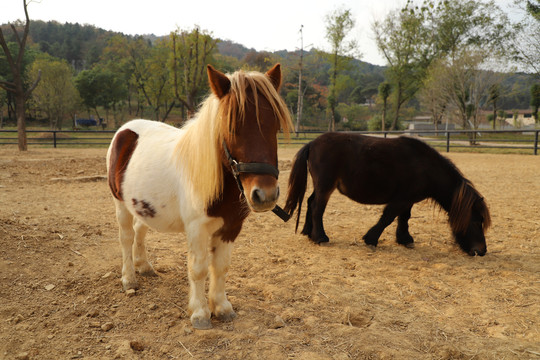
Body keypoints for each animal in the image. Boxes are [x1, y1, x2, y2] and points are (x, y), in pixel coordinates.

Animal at [106, 64, 292, 330]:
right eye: (231, 127)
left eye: (274, 125)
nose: (264, 194)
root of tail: (126, 129)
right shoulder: (197, 228)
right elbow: (199, 268)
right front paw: (200, 313)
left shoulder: (231, 227)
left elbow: (221, 266)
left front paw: (222, 307)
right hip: (120, 203)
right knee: (126, 237)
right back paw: (129, 279)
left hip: (142, 204)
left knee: (140, 230)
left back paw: (144, 267)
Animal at [284, 133, 492, 256]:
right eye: (476, 221)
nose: (481, 251)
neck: (425, 166)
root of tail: (312, 143)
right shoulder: (401, 199)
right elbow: (388, 218)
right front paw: (371, 239)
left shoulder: (408, 200)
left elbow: (404, 218)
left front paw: (404, 239)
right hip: (325, 186)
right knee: (317, 207)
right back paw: (320, 237)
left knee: (310, 203)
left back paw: (308, 232)